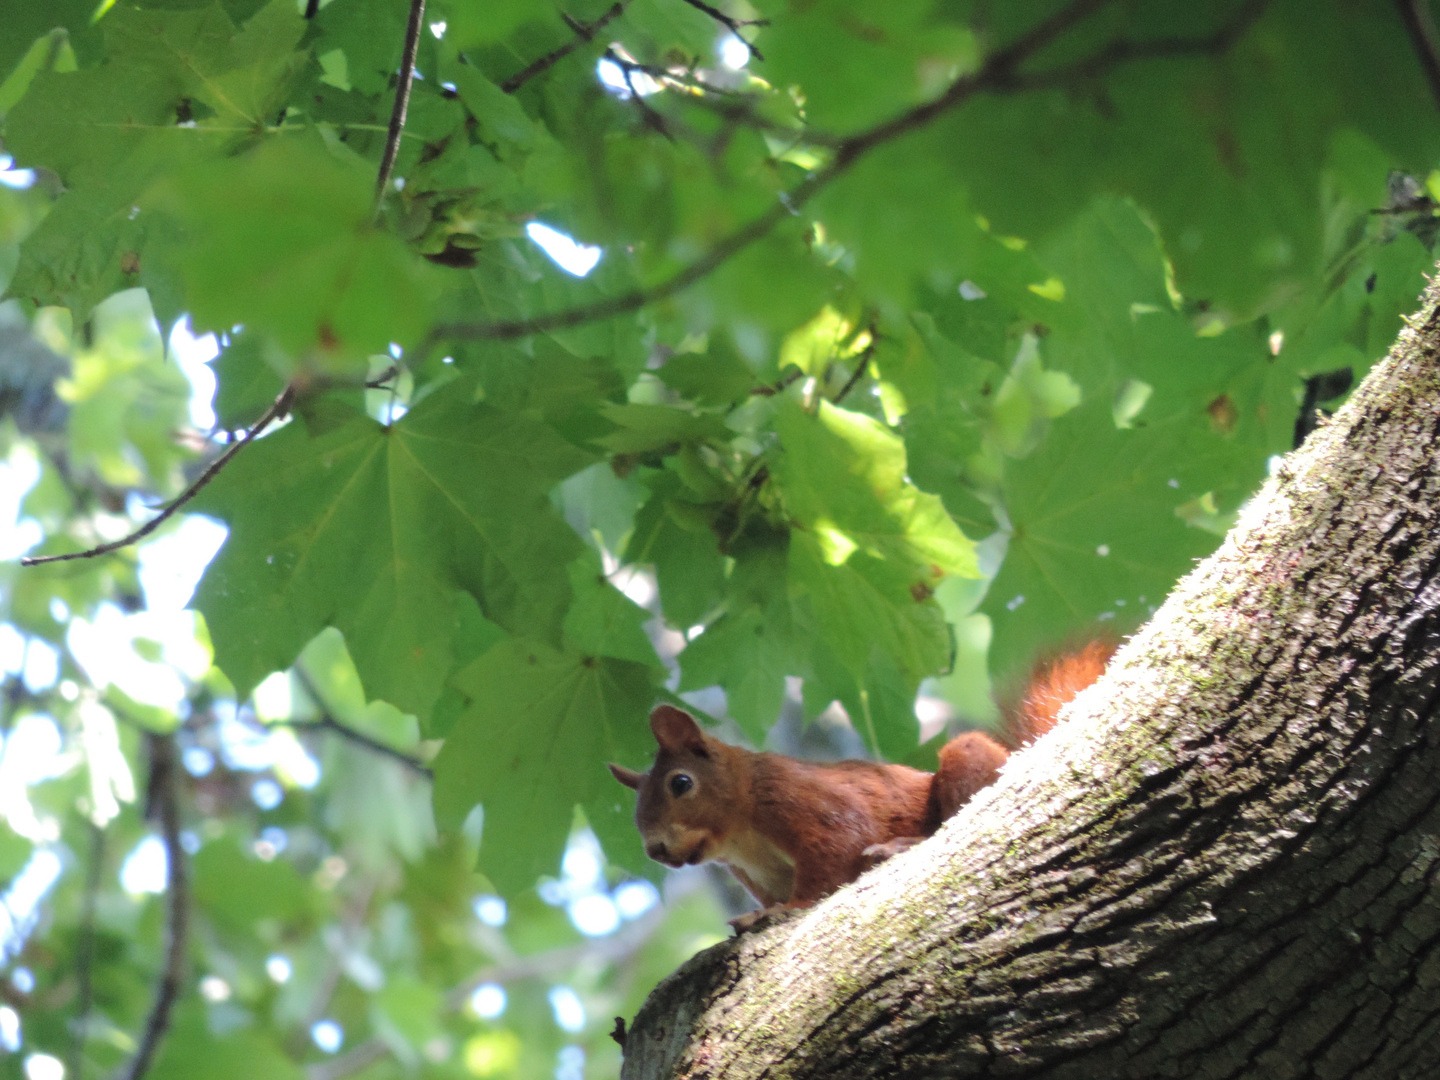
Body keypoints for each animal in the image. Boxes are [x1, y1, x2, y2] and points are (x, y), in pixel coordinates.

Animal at [607, 642, 1111, 933]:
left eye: (681, 783)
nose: (655, 849)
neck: (742, 835)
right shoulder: (755, 874)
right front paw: (757, 915)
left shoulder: (801, 800)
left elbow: (834, 849)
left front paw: (792, 907)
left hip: (967, 763)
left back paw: (900, 844)